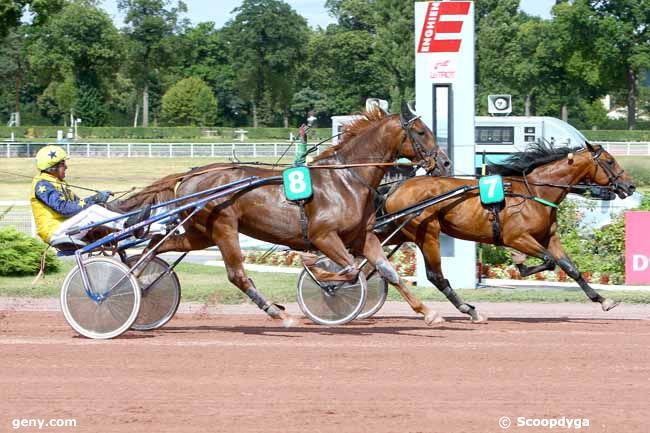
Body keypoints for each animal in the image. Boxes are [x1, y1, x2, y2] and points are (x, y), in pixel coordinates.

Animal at [111, 104, 450, 324]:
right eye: (421, 131)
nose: (445, 163)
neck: (346, 179)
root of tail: (193, 173)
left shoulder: (362, 236)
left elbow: (388, 272)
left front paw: (429, 313)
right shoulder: (324, 236)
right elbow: (351, 270)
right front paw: (319, 274)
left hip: (200, 233)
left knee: (156, 247)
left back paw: (135, 282)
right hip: (223, 226)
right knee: (236, 274)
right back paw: (276, 313)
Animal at [382, 142, 636, 320]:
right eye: (610, 161)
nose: (630, 185)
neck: (535, 192)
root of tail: (396, 188)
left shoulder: (549, 237)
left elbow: (570, 268)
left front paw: (602, 299)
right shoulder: (517, 238)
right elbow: (548, 261)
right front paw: (520, 263)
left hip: (403, 231)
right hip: (427, 234)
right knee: (435, 275)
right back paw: (468, 309)